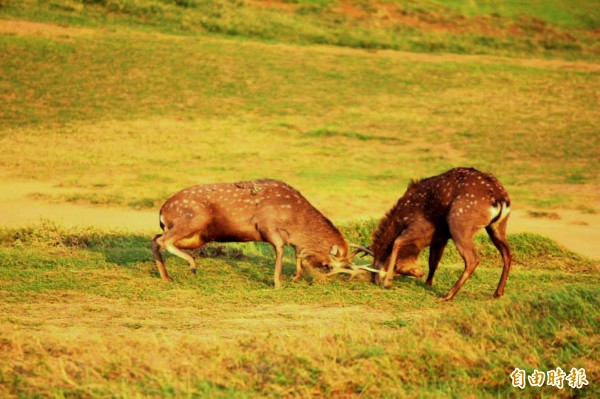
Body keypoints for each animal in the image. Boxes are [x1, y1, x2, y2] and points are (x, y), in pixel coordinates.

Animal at [150, 179, 350, 288]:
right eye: (328, 266)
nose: (324, 282)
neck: (295, 220)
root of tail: (162, 211)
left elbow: (297, 254)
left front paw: (294, 277)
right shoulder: (268, 226)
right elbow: (281, 249)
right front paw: (278, 282)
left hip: (197, 237)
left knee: (155, 239)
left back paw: (166, 277)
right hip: (194, 219)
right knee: (163, 240)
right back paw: (192, 265)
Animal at [360, 167, 510, 302]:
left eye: (379, 265)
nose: (376, 281)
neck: (400, 218)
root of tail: (500, 198)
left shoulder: (420, 227)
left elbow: (397, 242)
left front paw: (388, 283)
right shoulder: (440, 237)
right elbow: (433, 260)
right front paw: (428, 283)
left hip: (459, 222)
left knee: (472, 259)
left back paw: (447, 296)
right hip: (497, 225)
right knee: (507, 253)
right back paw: (498, 293)